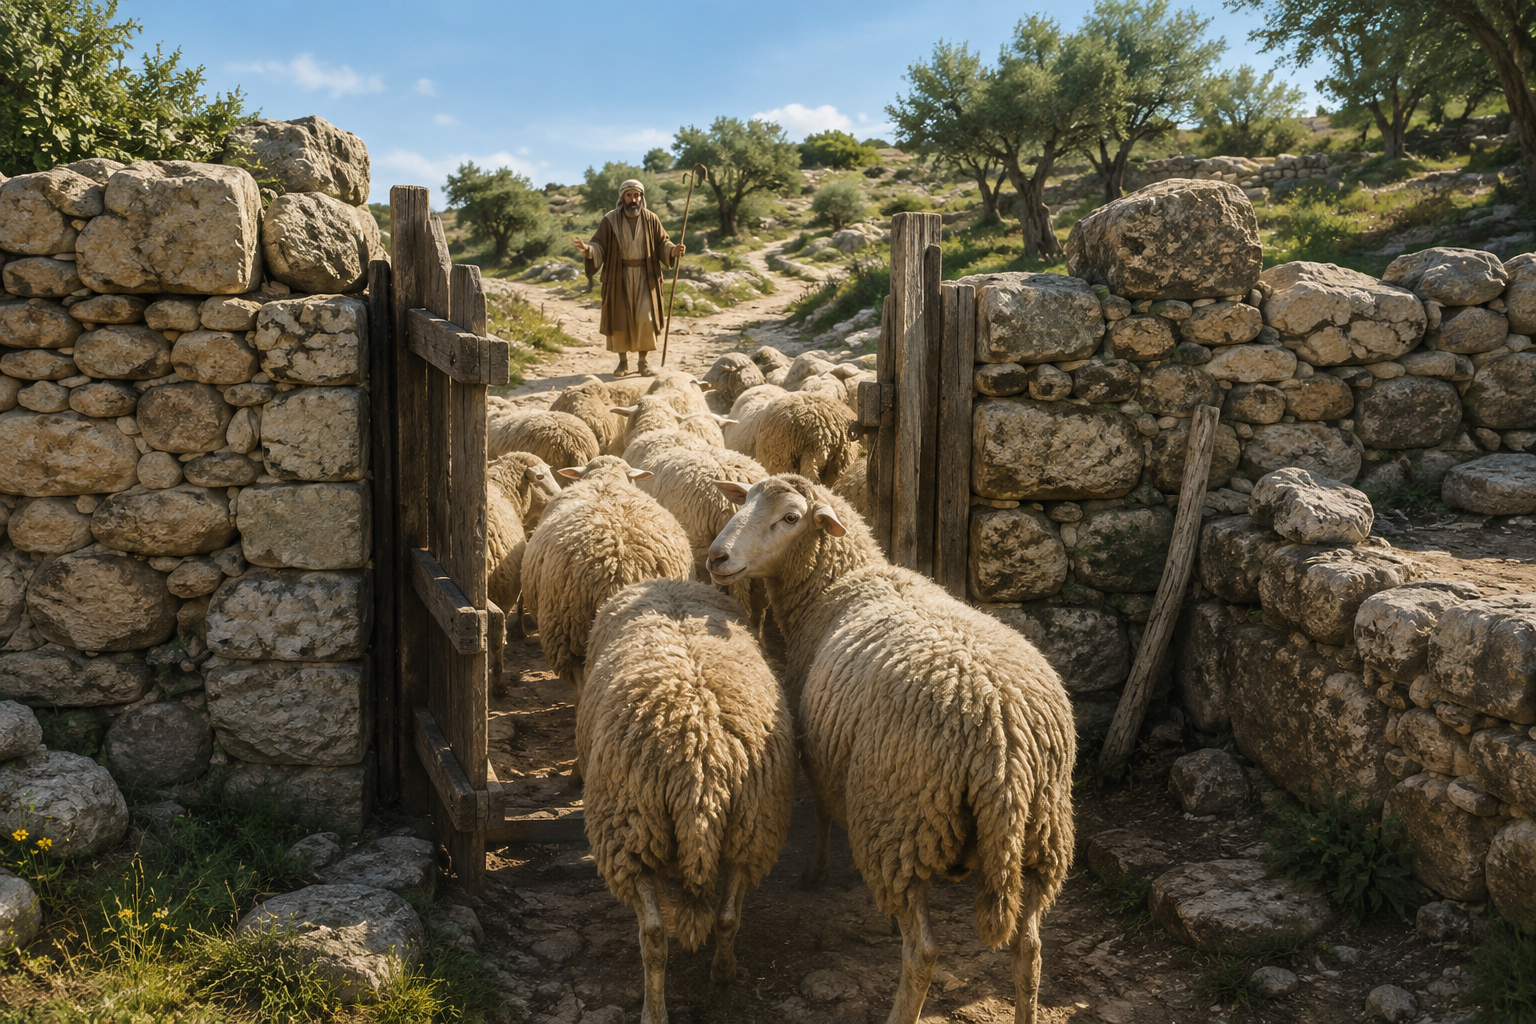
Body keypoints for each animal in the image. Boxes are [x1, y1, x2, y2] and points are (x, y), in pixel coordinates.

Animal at [579, 578, 795, 1024]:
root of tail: (700, 763)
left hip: (630, 828)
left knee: (654, 934)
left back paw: (654, 1011)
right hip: (751, 827)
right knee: (727, 916)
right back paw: (723, 973)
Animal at [704, 475, 1076, 1024]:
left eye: (791, 517)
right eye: (745, 499)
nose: (716, 557)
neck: (840, 581)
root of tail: (1000, 737)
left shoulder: (820, 753)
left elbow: (822, 814)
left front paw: (817, 872)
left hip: (901, 820)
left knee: (922, 951)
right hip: (1043, 833)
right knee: (1028, 948)